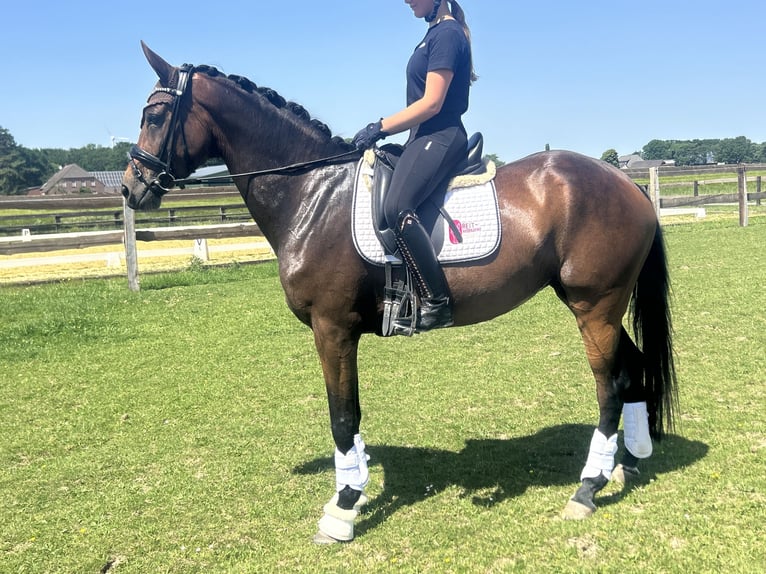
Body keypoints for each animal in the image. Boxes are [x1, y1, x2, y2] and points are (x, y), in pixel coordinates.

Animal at [122, 42, 677, 543]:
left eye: (155, 114)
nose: (131, 187)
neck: (312, 194)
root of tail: (626, 184)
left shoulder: (333, 328)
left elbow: (342, 415)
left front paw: (342, 509)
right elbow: (348, 415)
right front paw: (353, 491)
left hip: (594, 306)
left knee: (609, 387)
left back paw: (586, 489)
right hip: (595, 305)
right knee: (631, 370)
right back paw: (624, 465)